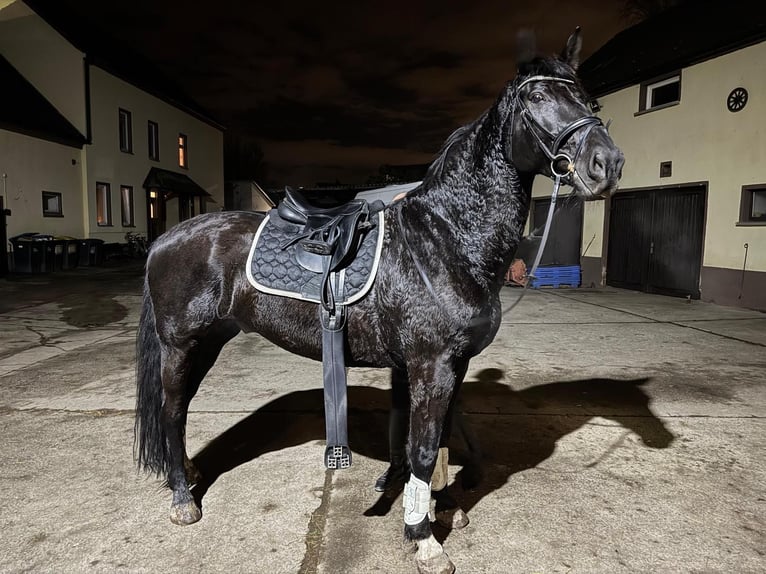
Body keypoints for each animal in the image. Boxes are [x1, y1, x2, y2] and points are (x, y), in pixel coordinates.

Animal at [136, 30, 624, 574]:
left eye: (591, 101)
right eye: (537, 97)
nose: (606, 165)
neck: (446, 240)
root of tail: (165, 239)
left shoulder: (449, 366)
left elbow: (438, 441)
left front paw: (441, 507)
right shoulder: (432, 365)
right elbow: (424, 448)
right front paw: (424, 538)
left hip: (209, 342)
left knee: (177, 409)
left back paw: (186, 472)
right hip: (181, 344)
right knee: (172, 411)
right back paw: (183, 499)